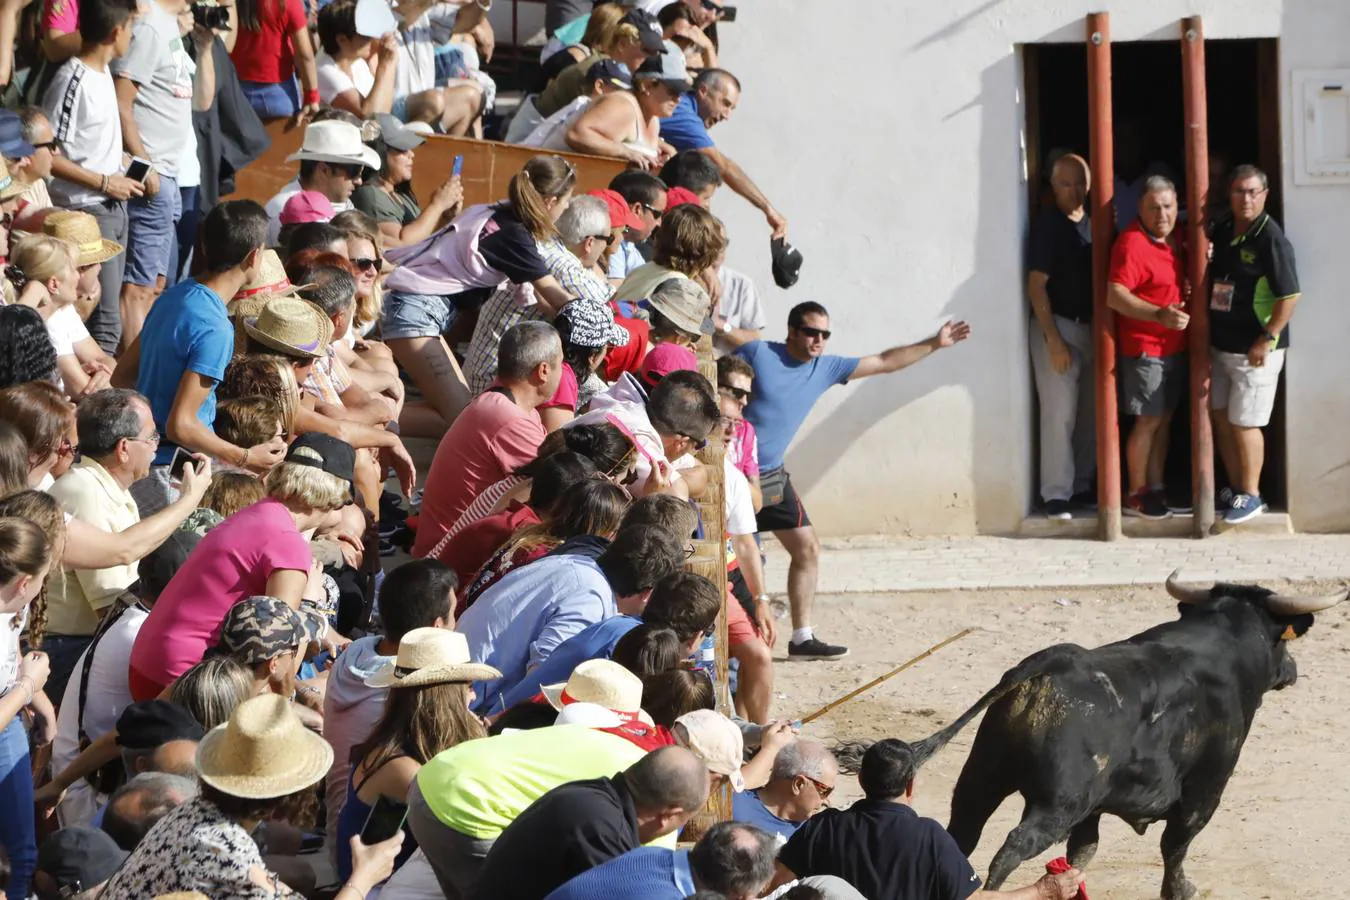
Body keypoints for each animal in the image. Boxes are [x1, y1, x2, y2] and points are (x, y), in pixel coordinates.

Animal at [896, 577, 1339, 900]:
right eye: (1282, 641)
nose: (1292, 671)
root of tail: (1048, 664)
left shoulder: (1094, 809)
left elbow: (1083, 850)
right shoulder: (1205, 789)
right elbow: (1175, 845)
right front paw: (1181, 891)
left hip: (982, 778)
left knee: (962, 832)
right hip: (1056, 804)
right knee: (1012, 847)